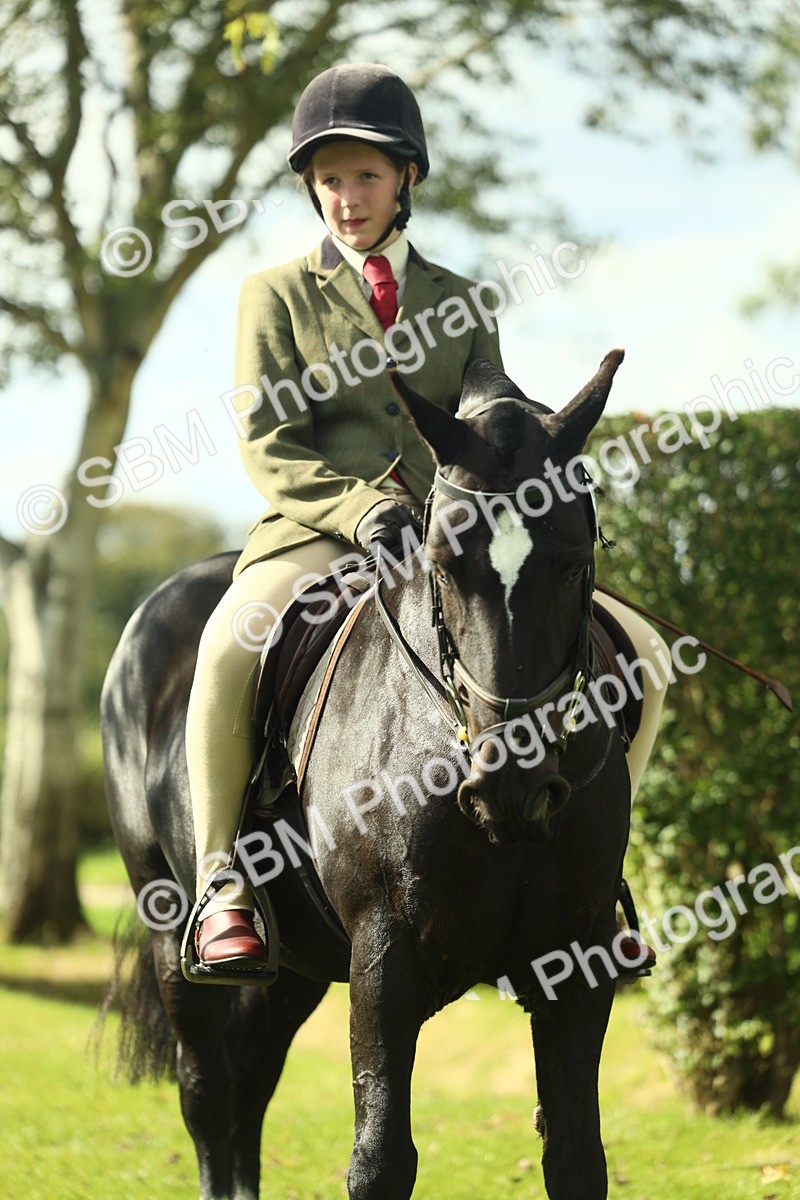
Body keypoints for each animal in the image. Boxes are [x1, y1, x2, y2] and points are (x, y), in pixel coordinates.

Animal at [102, 349, 639, 1200]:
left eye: (573, 562)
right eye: (445, 565)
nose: (512, 788)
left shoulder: (577, 958)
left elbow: (577, 1159)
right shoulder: (384, 959)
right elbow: (381, 1160)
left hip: (294, 966)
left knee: (252, 1078)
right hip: (168, 926)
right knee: (208, 1090)